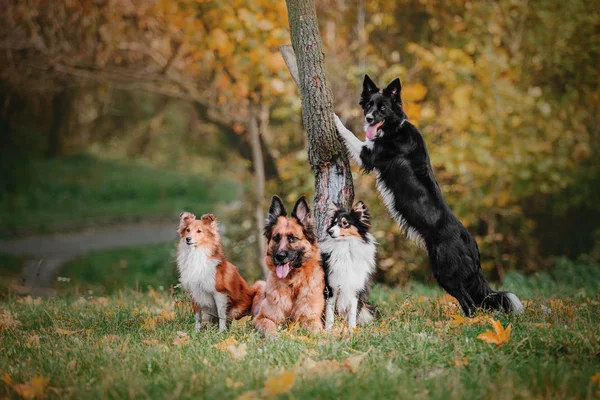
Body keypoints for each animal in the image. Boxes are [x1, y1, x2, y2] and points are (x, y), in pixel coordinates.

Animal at [254, 195, 326, 336]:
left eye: (292, 238)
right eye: (276, 238)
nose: (280, 256)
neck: (293, 284)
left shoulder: (311, 319)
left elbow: (317, 331)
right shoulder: (262, 318)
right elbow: (269, 326)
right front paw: (274, 337)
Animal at [336, 75, 524, 318]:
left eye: (382, 108)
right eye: (369, 105)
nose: (368, 118)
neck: (395, 128)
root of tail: (473, 248)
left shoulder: (368, 155)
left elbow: (349, 133)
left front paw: (334, 117)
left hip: (444, 272)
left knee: (470, 303)